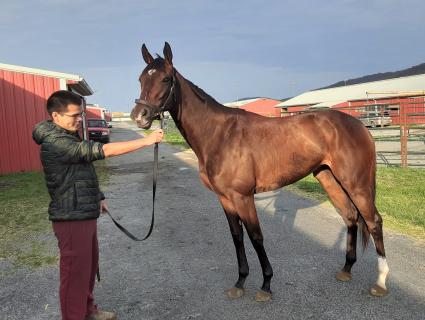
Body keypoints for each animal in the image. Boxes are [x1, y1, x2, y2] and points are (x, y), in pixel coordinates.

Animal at [129, 42, 388, 300]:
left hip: (356, 184)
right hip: (328, 178)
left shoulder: (243, 197)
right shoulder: (225, 198)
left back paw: (380, 282)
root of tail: (360, 126)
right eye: (141, 79)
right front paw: (240, 281)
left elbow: (256, 237)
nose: (139, 116)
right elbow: (237, 237)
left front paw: (265, 284)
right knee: (350, 216)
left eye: (165, 79)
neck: (219, 135)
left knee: (373, 221)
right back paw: (346, 269)